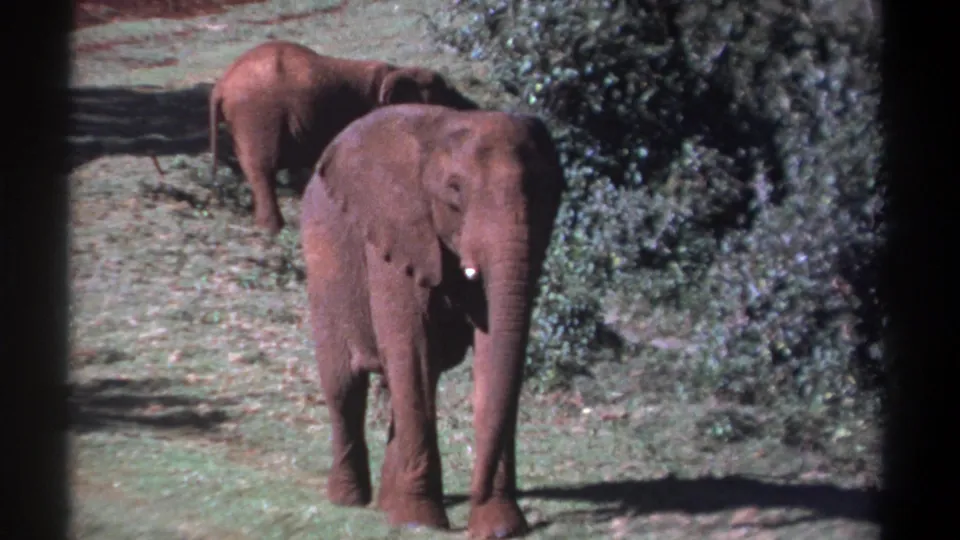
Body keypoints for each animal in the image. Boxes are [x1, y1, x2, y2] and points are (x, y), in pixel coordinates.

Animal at [208, 40, 479, 233]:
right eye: (445, 94)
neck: (396, 71)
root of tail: (221, 86)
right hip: (257, 114)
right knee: (262, 169)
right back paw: (274, 230)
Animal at [300, 103, 567, 538]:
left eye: (544, 191)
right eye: (455, 190)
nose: (475, 525)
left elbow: (492, 355)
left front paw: (501, 525)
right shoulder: (397, 234)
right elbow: (412, 348)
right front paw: (420, 521)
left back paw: (387, 506)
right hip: (322, 261)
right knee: (345, 385)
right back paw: (350, 500)